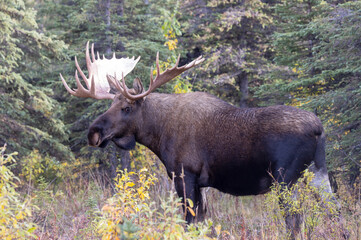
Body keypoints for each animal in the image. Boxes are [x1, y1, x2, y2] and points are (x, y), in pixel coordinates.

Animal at [60, 42, 338, 237]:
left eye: (126, 108)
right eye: (111, 105)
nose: (93, 132)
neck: (158, 134)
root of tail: (319, 128)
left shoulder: (185, 175)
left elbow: (188, 221)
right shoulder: (202, 183)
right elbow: (202, 221)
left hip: (284, 178)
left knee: (295, 220)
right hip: (317, 172)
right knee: (334, 210)